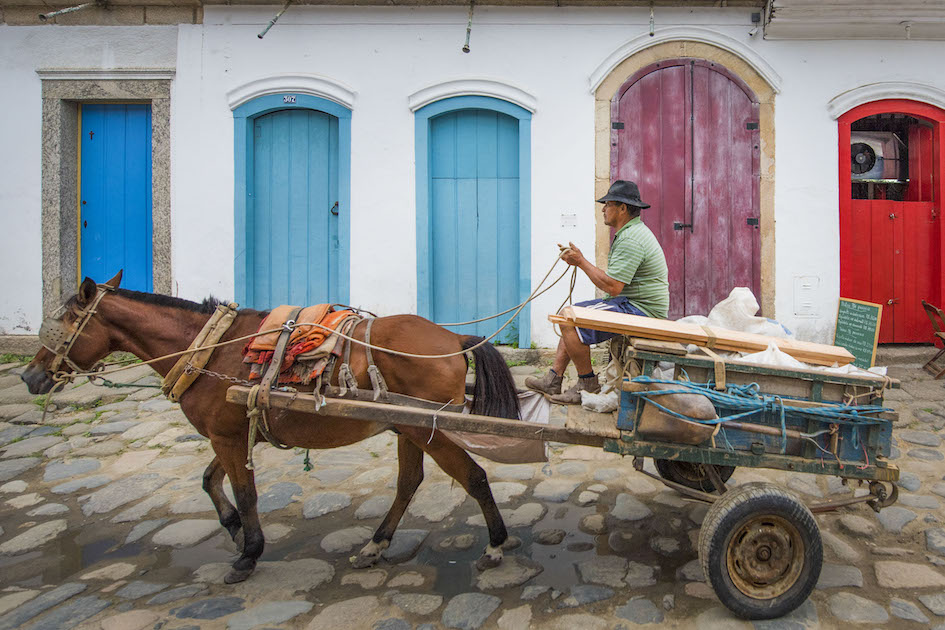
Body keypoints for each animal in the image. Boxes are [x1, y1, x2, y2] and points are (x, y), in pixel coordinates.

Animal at [22, 274, 520, 584]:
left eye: (63, 323)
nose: (30, 376)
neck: (208, 349)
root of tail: (452, 338)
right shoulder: (232, 432)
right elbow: (209, 481)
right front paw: (233, 529)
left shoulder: (226, 437)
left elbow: (245, 493)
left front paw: (247, 553)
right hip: (409, 426)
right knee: (409, 482)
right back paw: (375, 546)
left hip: (432, 428)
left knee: (473, 476)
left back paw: (496, 546)